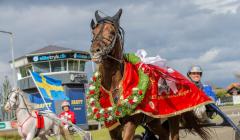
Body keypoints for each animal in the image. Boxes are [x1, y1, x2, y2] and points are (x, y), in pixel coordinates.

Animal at [88, 8, 210, 140]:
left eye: (111, 32)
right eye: (93, 32)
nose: (95, 51)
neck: (114, 86)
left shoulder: (131, 123)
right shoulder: (112, 126)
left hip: (173, 117)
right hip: (154, 120)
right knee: (163, 135)